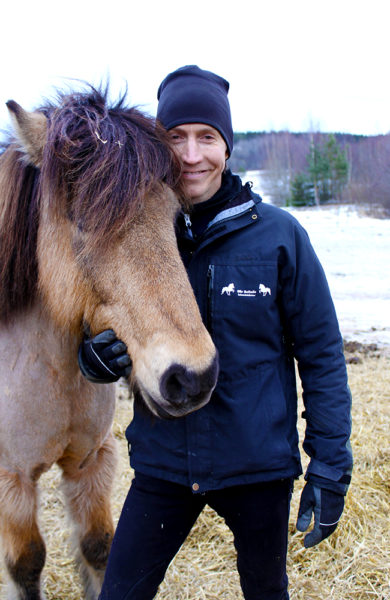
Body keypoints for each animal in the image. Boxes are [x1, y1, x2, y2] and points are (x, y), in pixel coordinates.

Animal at [0, 88, 218, 600]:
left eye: (176, 218)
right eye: (81, 222)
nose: (192, 377)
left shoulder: (90, 462)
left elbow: (99, 546)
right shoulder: (12, 480)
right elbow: (26, 565)